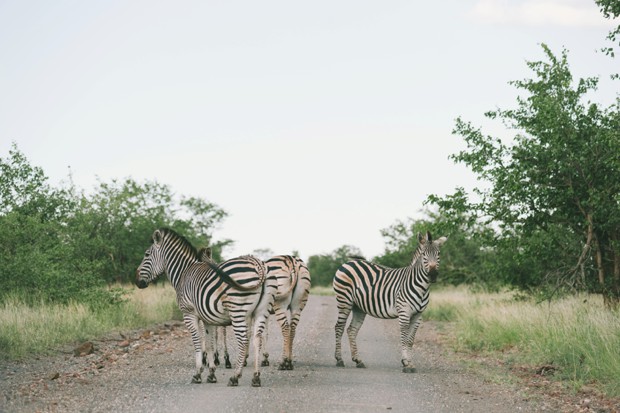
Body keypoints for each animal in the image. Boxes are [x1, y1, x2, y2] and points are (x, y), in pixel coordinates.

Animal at [138, 229, 278, 386]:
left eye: (146, 255)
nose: (137, 281)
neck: (183, 273)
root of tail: (259, 265)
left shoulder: (189, 313)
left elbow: (197, 341)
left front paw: (198, 373)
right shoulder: (208, 318)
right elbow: (210, 343)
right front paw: (211, 373)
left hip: (238, 311)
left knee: (243, 340)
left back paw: (235, 376)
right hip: (261, 311)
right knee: (257, 339)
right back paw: (256, 377)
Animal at [334, 230, 446, 372]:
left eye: (438, 254)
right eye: (423, 255)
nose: (432, 275)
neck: (422, 288)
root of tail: (349, 262)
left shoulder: (418, 316)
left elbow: (410, 340)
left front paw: (410, 363)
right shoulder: (404, 312)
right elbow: (404, 338)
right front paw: (405, 363)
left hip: (358, 307)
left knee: (351, 330)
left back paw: (358, 360)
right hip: (344, 301)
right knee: (339, 327)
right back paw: (339, 359)